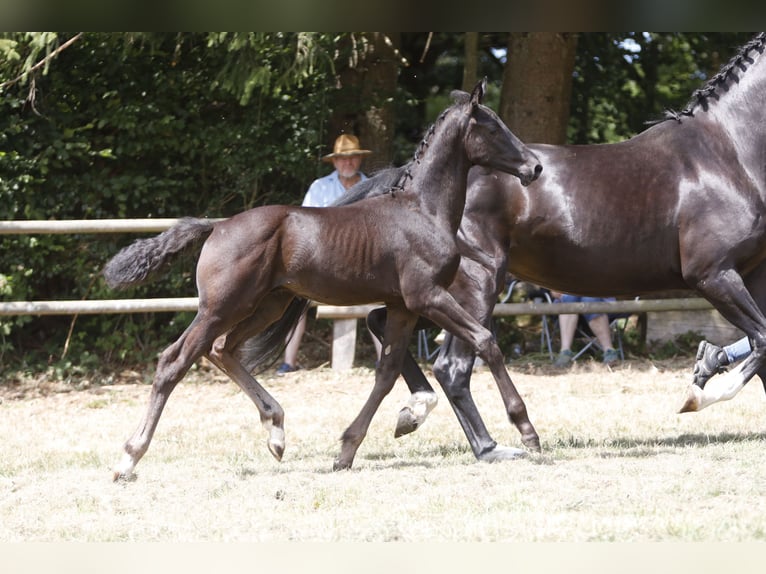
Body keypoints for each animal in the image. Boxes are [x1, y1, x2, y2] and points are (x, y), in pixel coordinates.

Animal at [103, 79, 543, 480]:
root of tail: (217, 225)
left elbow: (386, 373)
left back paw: (276, 431)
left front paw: (348, 449)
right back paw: (128, 458)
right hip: (221, 307)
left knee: (222, 350)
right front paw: (527, 431)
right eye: (492, 128)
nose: (534, 167)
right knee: (174, 361)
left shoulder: (402, 306)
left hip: (267, 305)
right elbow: (486, 341)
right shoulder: (428, 296)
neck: (423, 210)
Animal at [263, 33, 766, 461]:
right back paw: (494, 443)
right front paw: (701, 392)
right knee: (453, 366)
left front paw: (708, 368)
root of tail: (407, 181)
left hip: (431, 294)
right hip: (474, 285)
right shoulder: (713, 275)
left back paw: (422, 415)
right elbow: (762, 343)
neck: (725, 154)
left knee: (387, 327)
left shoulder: (750, 273)